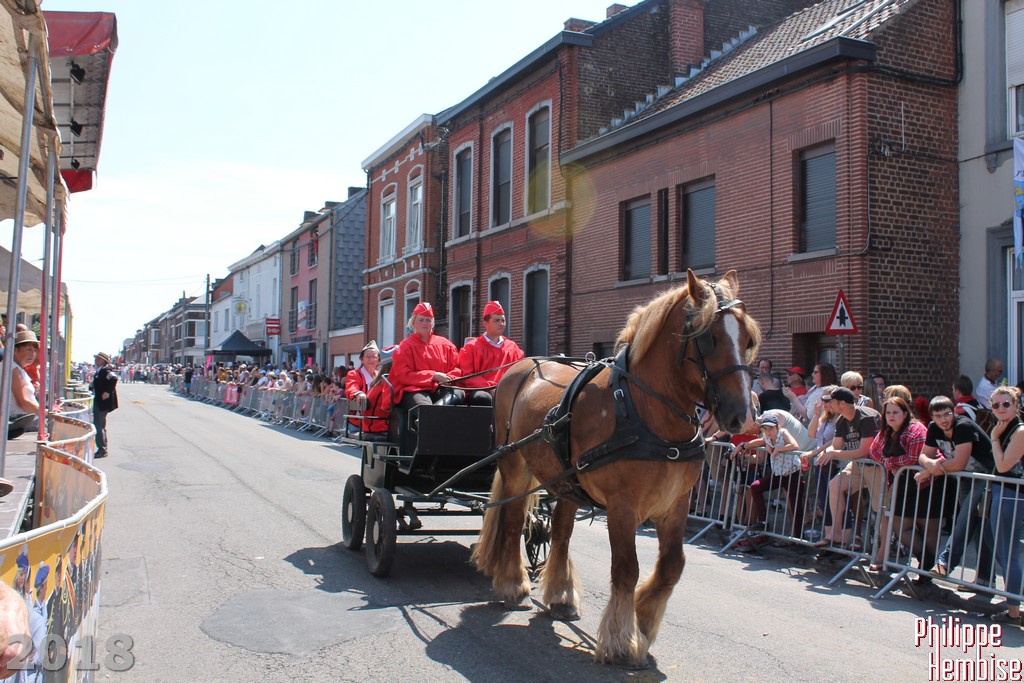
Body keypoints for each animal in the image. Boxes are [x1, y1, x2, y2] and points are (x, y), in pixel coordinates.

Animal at [471, 269, 760, 668]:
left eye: (747, 338)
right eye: (709, 337)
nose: (742, 416)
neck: (643, 411)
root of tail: (521, 366)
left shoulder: (676, 504)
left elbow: (672, 566)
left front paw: (645, 620)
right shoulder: (623, 507)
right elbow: (626, 569)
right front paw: (623, 639)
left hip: (567, 481)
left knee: (560, 532)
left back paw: (560, 595)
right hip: (515, 465)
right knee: (513, 523)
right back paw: (514, 585)